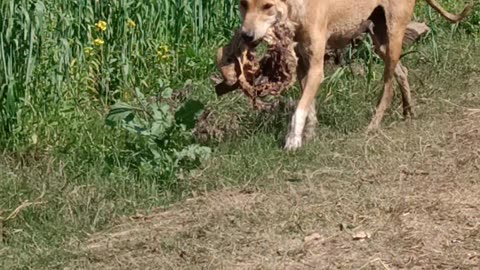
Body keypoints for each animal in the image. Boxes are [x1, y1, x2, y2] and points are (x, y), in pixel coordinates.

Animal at [238, 0, 470, 150]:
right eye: (243, 4)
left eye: (267, 6)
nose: (245, 35)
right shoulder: (303, 65)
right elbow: (308, 106)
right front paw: (309, 134)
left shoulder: (316, 69)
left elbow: (299, 109)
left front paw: (293, 141)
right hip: (380, 40)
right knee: (402, 72)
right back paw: (408, 111)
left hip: (393, 36)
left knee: (388, 88)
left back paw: (374, 125)